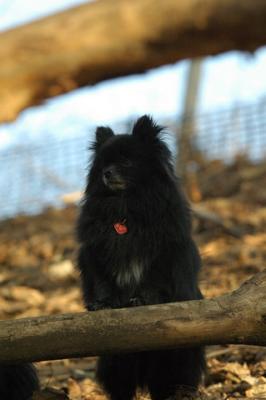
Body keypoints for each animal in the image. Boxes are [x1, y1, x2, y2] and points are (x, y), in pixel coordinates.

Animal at [77, 115, 206, 400]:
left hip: (175, 361)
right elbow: (103, 282)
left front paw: (142, 299)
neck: (126, 207)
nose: (107, 173)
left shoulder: (163, 254)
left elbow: (152, 281)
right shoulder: (96, 255)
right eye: (104, 165)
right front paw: (103, 303)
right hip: (117, 361)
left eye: (126, 162)